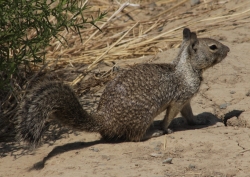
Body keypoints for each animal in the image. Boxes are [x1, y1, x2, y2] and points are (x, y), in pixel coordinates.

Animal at [16, 28, 229, 148]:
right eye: (213, 47)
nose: (228, 49)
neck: (185, 68)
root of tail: (104, 121)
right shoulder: (178, 99)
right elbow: (170, 116)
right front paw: (165, 128)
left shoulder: (186, 101)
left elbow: (189, 115)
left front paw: (198, 121)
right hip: (143, 116)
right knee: (134, 137)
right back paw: (153, 133)